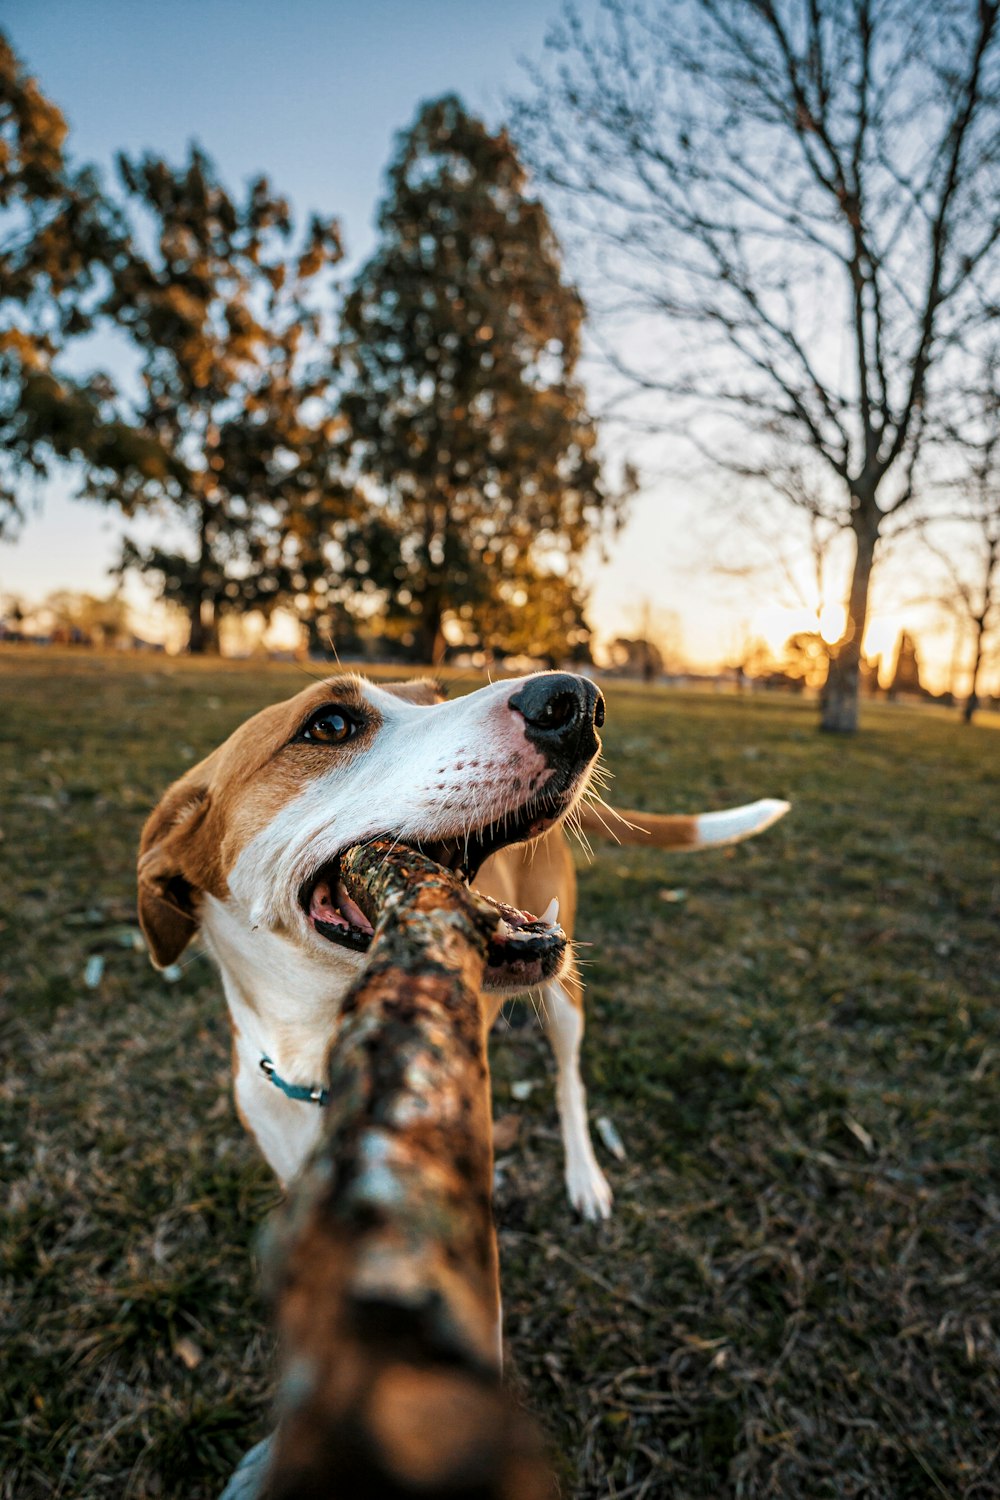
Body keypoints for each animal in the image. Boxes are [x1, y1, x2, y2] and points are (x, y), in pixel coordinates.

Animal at [137, 675, 791, 1224]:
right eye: (329, 724)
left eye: (437, 694)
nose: (575, 700)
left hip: (565, 998)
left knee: (569, 1082)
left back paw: (584, 1175)